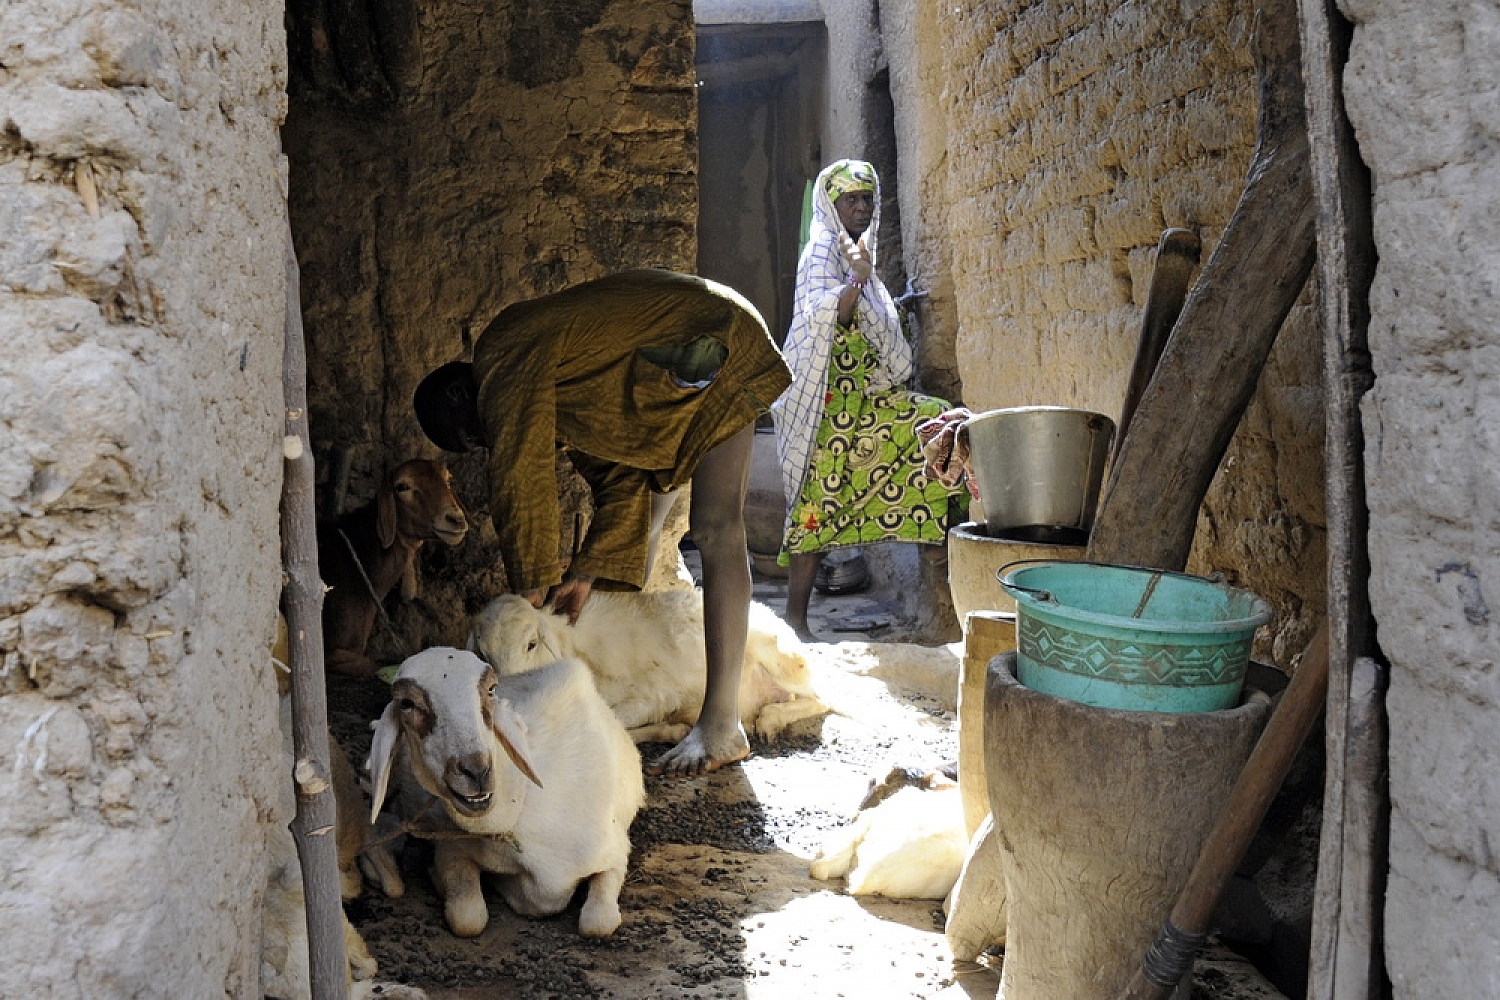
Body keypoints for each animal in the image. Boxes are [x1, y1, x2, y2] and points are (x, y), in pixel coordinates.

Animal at [367, 650, 645, 941]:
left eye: (491, 689)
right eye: (406, 703)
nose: (476, 771)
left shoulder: (615, 853)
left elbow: (597, 923)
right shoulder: (452, 847)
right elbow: (468, 919)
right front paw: (438, 878)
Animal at [465, 590, 834, 746]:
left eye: (531, 644)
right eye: (483, 652)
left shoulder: (654, 693)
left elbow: (618, 720)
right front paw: (672, 730)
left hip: (781, 656)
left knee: (824, 697)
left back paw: (771, 720)